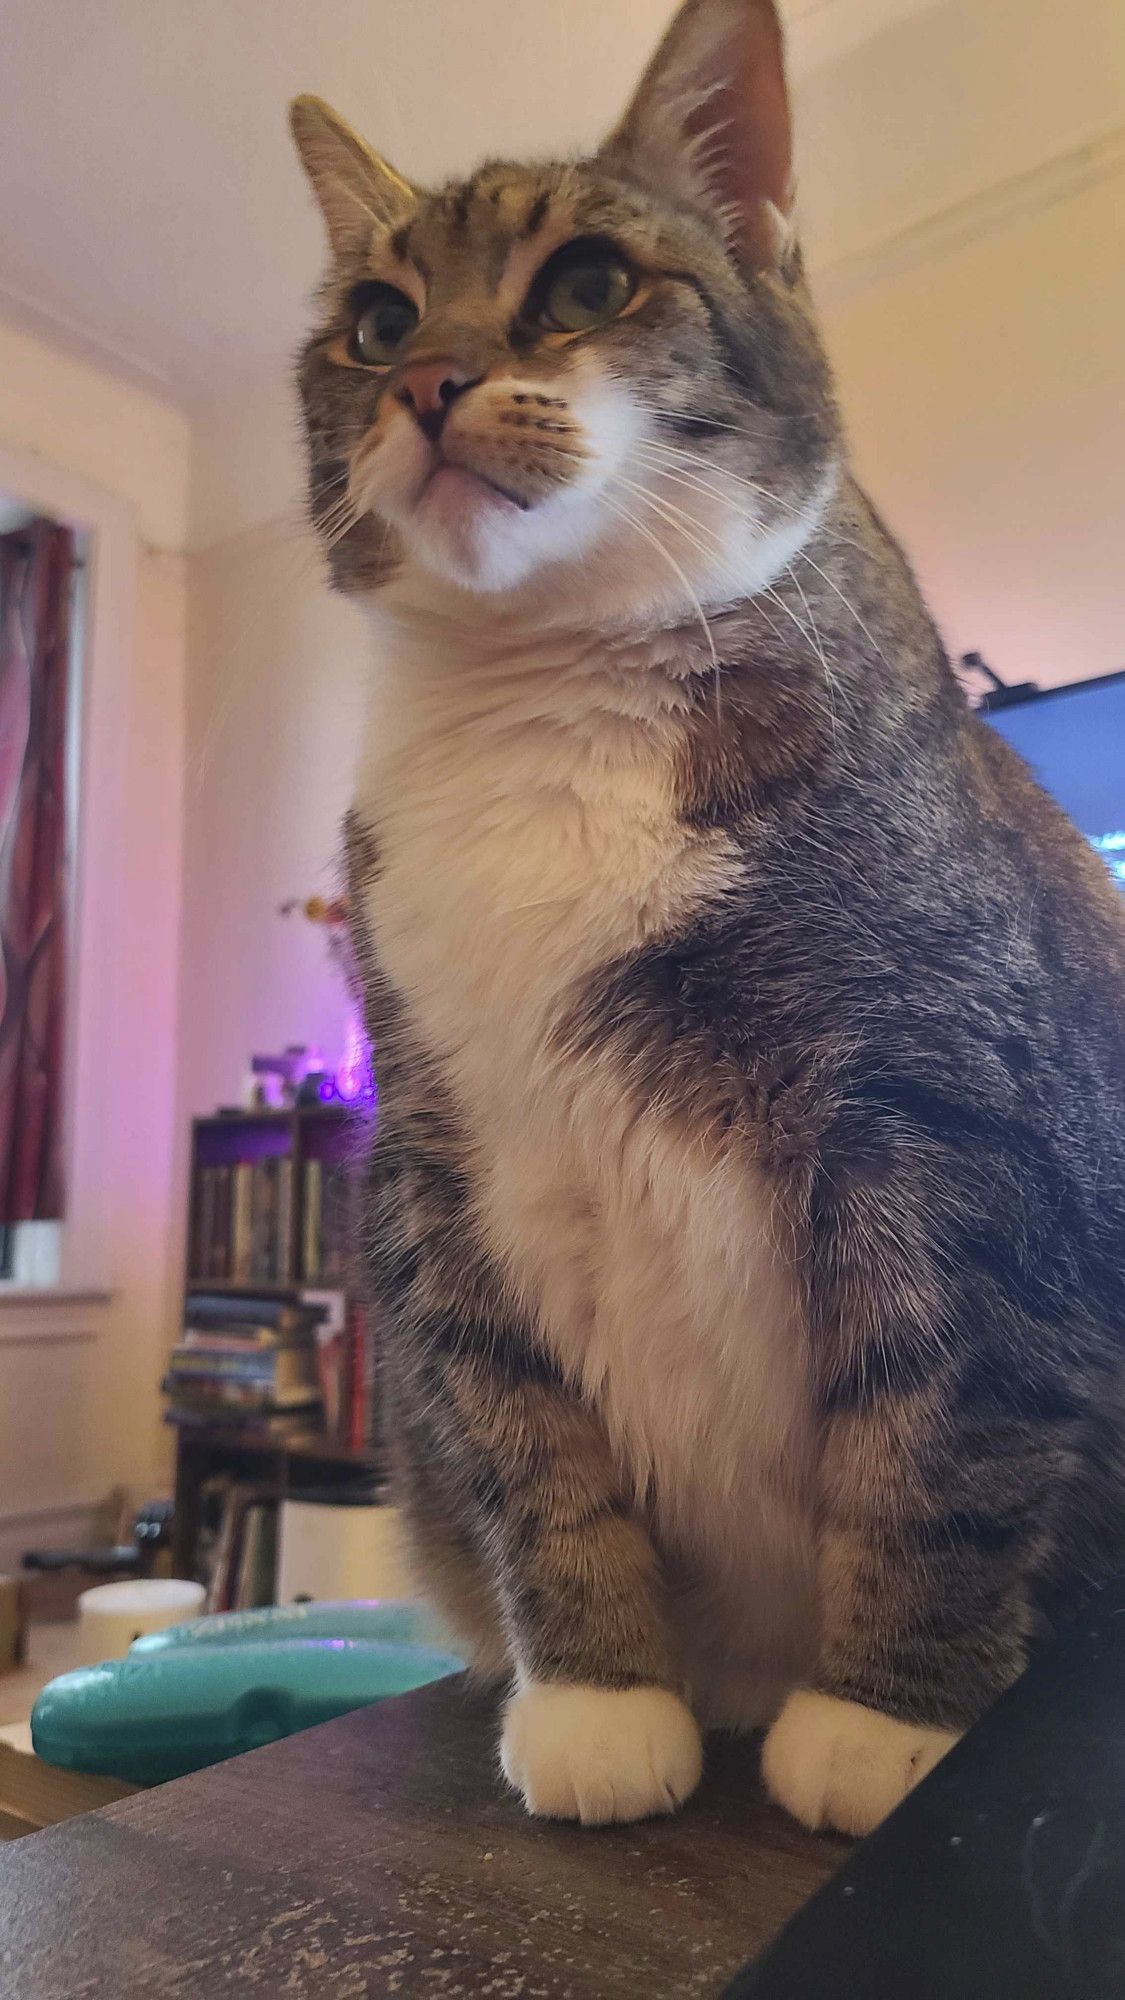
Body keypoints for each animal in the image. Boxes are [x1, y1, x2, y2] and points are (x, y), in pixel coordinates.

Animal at [286, 0, 1120, 1840]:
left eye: (586, 283)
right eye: (378, 322)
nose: (429, 383)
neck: (552, 700)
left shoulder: (947, 1111)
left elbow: (945, 1428)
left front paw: (888, 1726)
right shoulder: (441, 1158)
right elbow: (528, 1446)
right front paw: (601, 1699)